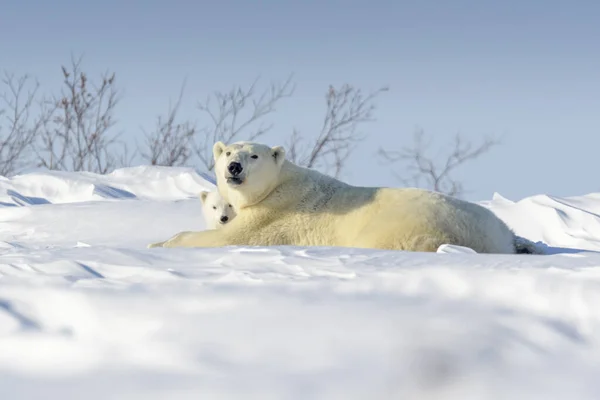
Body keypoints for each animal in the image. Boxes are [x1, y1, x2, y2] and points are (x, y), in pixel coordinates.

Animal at [150, 141, 540, 253]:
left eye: (254, 155)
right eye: (229, 151)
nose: (233, 166)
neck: (281, 183)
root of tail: (500, 234)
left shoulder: (274, 214)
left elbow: (229, 237)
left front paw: (161, 243)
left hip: (409, 225)